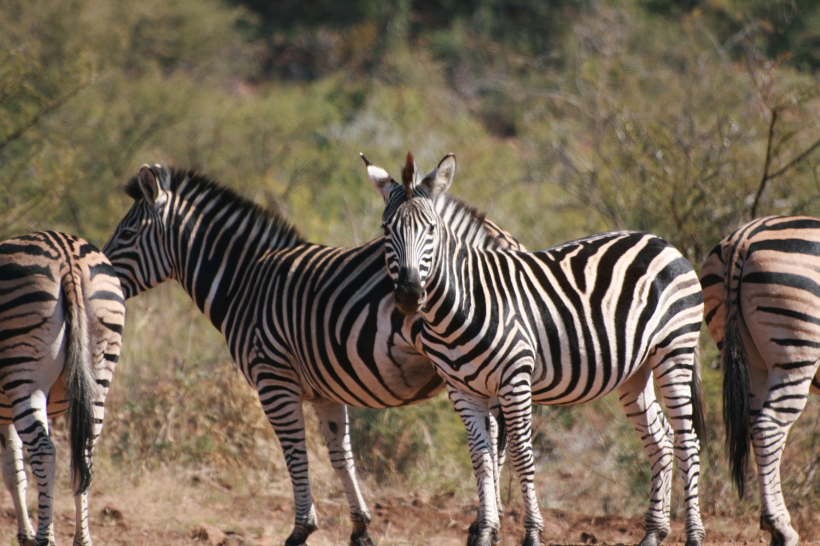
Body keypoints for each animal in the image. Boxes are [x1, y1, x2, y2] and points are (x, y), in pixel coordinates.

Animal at [0, 231, 125, 544]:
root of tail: (66, 254)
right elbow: (14, 471)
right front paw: (25, 534)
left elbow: (12, 470)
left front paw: (29, 534)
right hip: (99, 375)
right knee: (84, 453)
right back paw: (82, 539)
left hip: (24, 377)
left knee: (44, 451)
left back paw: (46, 537)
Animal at [102, 163, 524, 544]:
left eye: (127, 233)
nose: (100, 273)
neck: (245, 282)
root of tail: (503, 240)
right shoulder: (326, 391)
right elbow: (341, 456)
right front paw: (360, 529)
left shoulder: (274, 381)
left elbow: (295, 454)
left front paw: (301, 530)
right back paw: (485, 523)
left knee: (494, 437)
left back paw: (484, 526)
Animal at [368, 151, 708, 544]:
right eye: (385, 230)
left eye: (432, 230)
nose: (409, 295)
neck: (459, 304)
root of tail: (662, 242)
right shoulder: (462, 391)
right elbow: (481, 459)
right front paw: (485, 531)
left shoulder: (515, 381)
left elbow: (521, 455)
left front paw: (531, 532)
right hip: (636, 370)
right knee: (661, 440)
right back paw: (653, 532)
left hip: (674, 351)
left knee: (687, 441)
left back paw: (694, 534)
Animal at [696, 215, 820, 540]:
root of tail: (743, 236)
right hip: (796, 351)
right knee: (768, 426)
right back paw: (780, 527)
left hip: (751, 360)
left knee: (756, 427)